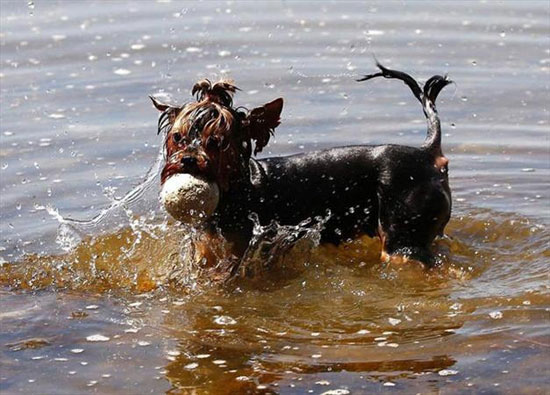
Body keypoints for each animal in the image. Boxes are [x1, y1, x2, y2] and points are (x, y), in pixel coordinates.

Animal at [151, 63, 452, 274]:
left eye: (217, 142)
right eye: (178, 138)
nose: (187, 160)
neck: (235, 191)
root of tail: (428, 153)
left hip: (402, 241)